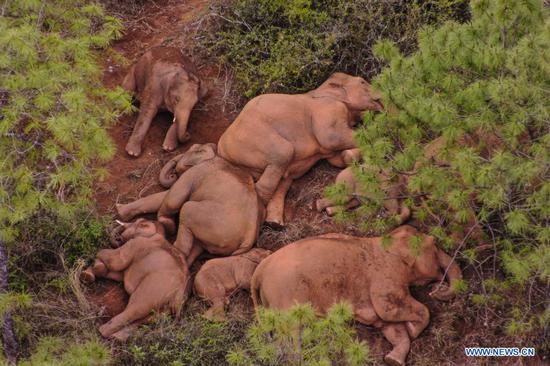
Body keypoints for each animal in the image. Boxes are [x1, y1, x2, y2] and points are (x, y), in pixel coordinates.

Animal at [115, 143, 266, 266]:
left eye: (189, 150)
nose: (173, 174)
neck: (214, 155)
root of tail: (248, 240)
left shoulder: (195, 172)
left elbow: (172, 198)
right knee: (198, 245)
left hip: (209, 220)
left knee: (185, 210)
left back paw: (174, 249)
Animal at [216, 72, 384, 226]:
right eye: (362, 82)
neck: (321, 89)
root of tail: (221, 149)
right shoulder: (327, 110)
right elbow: (331, 138)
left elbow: (335, 158)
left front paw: (348, 155)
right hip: (250, 139)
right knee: (283, 154)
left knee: (284, 180)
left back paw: (275, 223)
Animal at [252, 226, 464, 366]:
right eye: (434, 243)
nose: (437, 287)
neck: (387, 241)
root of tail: (258, 272)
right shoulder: (385, 274)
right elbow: (388, 309)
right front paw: (413, 329)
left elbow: (389, 325)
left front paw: (392, 359)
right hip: (284, 296)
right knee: (291, 333)